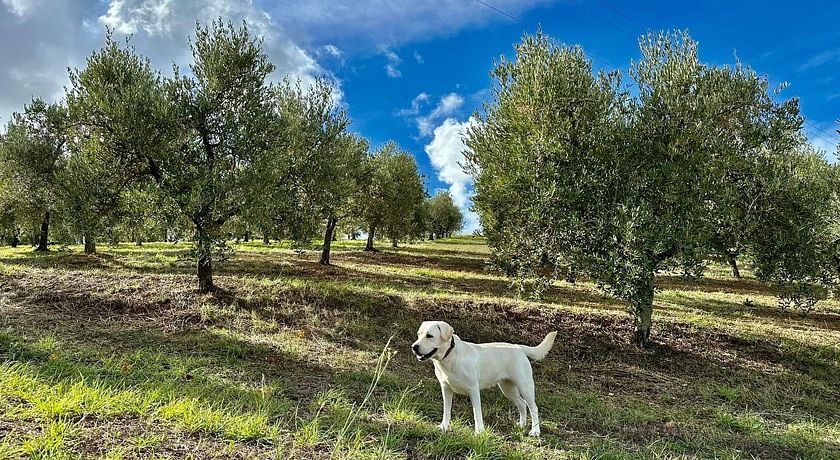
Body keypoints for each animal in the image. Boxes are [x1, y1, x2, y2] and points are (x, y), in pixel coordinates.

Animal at [410, 320, 556, 434]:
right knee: (522, 404)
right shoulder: (446, 389)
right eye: (419, 335)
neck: (449, 356)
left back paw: (535, 431)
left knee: (533, 408)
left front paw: (479, 432)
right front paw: (443, 427)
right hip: (507, 388)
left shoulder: (473, 390)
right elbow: (446, 411)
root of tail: (518, 347)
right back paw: (521, 425)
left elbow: (477, 413)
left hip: (525, 386)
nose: (414, 347)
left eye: (429, 336)